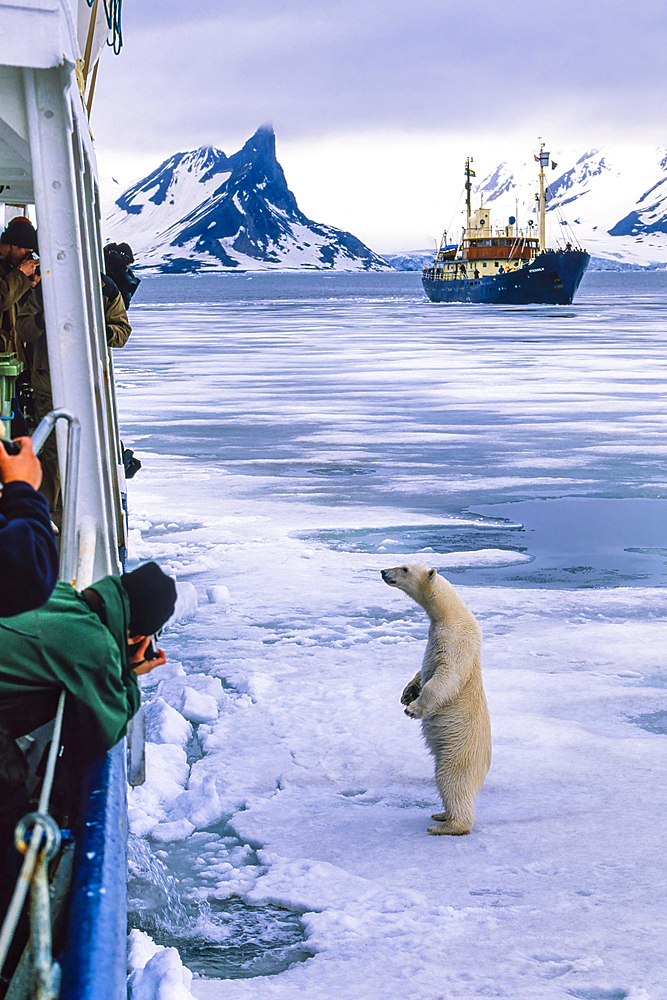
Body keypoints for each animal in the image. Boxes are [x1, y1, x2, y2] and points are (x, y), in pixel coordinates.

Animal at [380, 564, 490, 836]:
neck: (451, 614)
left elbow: (446, 675)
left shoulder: (456, 639)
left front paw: (413, 709)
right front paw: (407, 693)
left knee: (452, 781)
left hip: (460, 750)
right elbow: (422, 672)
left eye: (404, 568)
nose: (383, 571)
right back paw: (440, 814)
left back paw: (448, 826)